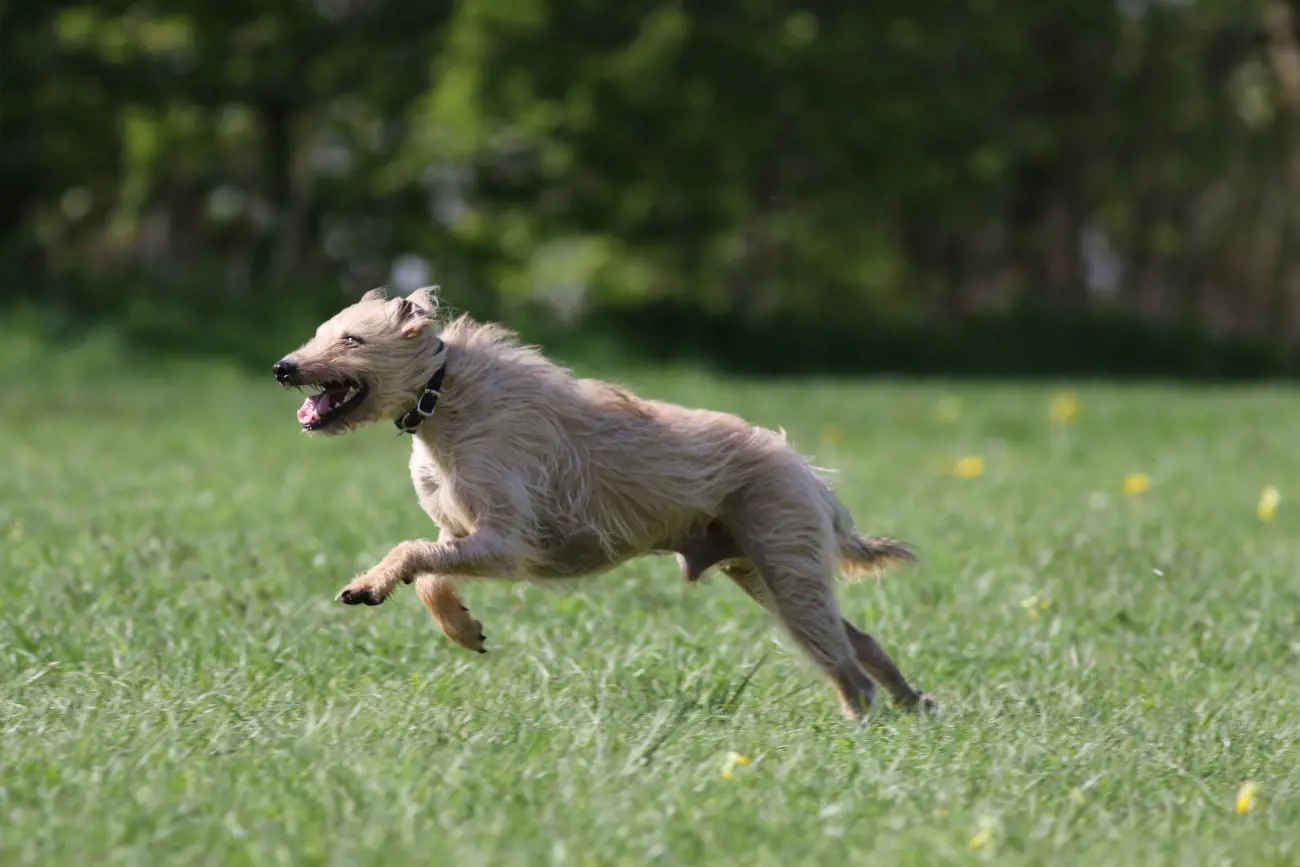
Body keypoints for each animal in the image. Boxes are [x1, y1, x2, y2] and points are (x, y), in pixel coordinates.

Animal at [276, 288, 935, 717]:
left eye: (352, 338)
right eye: (320, 332)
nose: (284, 367)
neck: (444, 395)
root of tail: (807, 472)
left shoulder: (507, 543)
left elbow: (411, 551)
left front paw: (369, 584)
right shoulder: (463, 537)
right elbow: (432, 572)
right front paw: (462, 628)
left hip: (786, 565)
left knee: (846, 663)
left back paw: (863, 723)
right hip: (762, 571)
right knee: (860, 640)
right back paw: (915, 702)